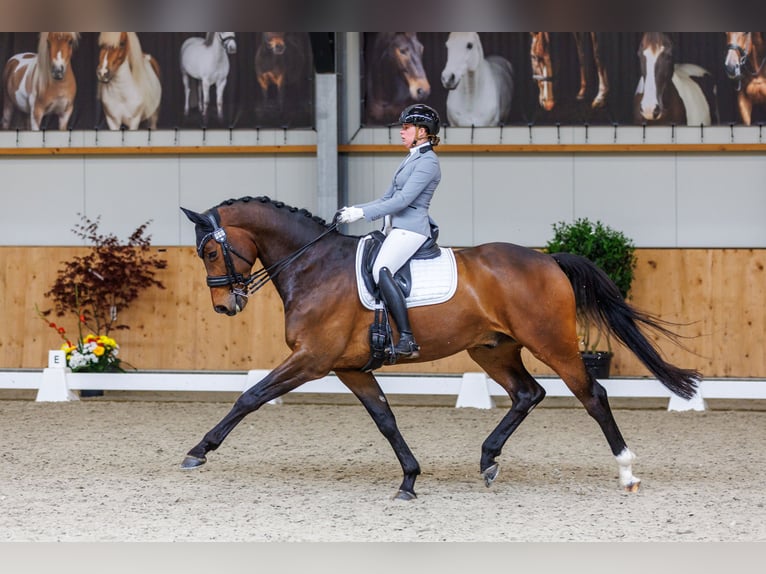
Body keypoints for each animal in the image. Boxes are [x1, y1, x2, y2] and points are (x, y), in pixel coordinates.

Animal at [180, 197, 704, 500]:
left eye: (211, 251)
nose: (225, 306)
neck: (315, 266)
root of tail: (548, 260)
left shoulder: (311, 359)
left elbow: (251, 397)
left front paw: (198, 451)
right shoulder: (349, 367)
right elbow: (385, 419)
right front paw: (409, 479)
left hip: (551, 342)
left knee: (592, 395)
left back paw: (626, 473)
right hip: (491, 349)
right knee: (527, 394)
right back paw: (488, 459)